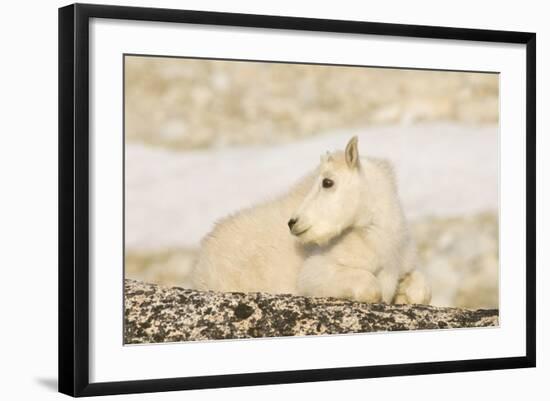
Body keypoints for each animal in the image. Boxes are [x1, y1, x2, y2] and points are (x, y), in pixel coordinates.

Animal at [192, 136, 434, 302]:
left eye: (327, 182)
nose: (293, 222)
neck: (381, 242)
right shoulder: (315, 271)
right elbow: (370, 288)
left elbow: (422, 291)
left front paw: (402, 296)